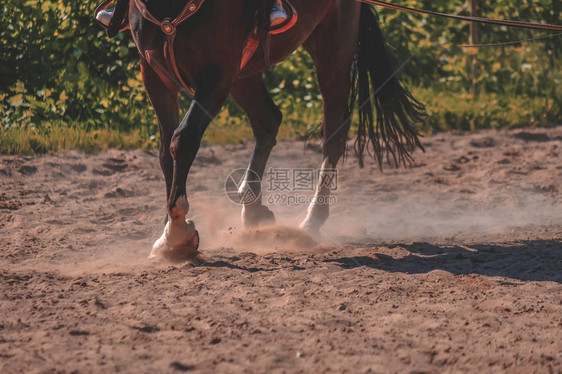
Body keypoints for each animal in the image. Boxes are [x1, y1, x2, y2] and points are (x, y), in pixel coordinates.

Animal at [119, 0, 424, 262]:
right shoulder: (154, 74)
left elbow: (183, 140)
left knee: (333, 134)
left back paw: (311, 221)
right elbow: (164, 153)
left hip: (333, 49)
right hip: (245, 71)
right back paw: (253, 206)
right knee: (268, 120)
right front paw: (167, 232)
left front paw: (176, 235)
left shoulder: (217, 74)